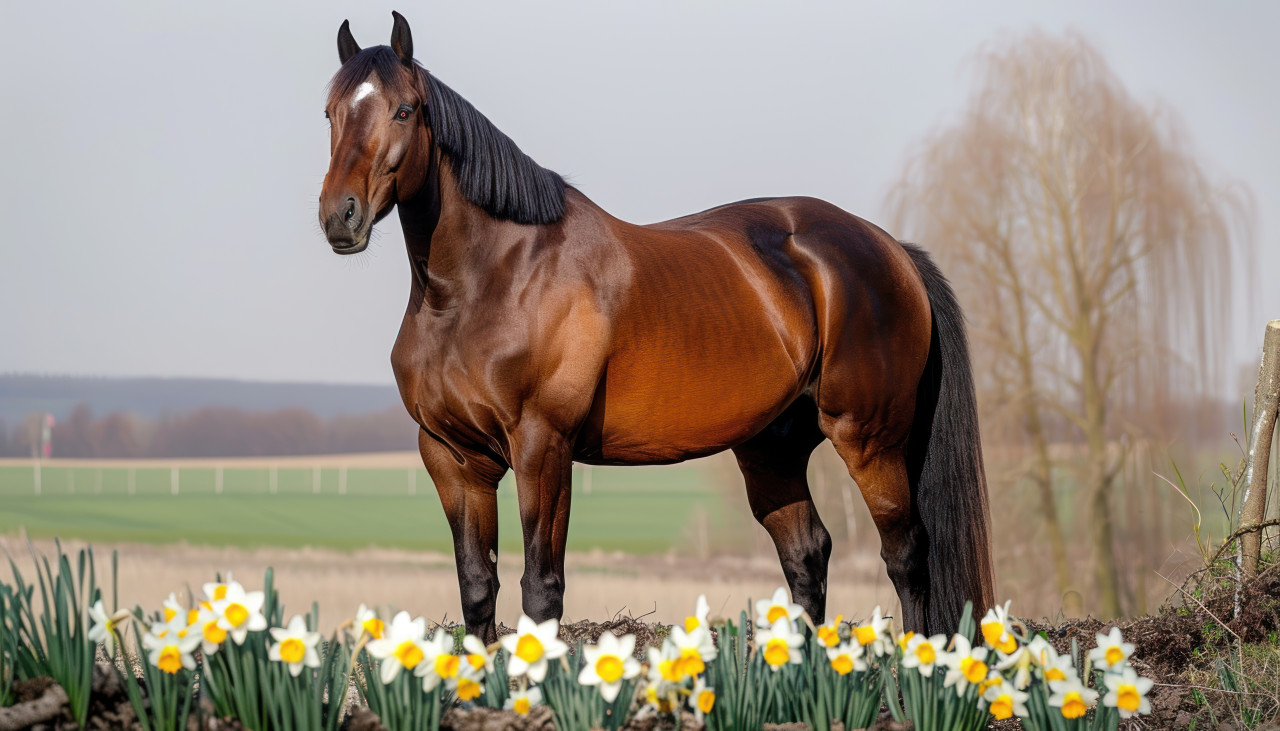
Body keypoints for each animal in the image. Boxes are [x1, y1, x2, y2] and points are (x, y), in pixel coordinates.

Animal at [318, 12, 994, 642]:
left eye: (404, 110)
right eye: (329, 113)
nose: (339, 216)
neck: (484, 284)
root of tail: (890, 249)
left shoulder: (542, 446)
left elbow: (541, 589)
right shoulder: (451, 457)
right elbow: (477, 588)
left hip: (869, 438)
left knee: (906, 556)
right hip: (772, 448)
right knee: (808, 555)